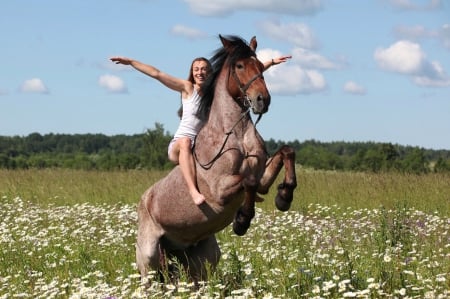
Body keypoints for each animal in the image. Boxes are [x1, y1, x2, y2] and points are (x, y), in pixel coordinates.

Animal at [137, 34, 298, 284]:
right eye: (239, 66)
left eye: (261, 66)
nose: (263, 100)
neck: (235, 136)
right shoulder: (220, 190)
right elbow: (248, 181)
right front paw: (242, 221)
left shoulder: (262, 178)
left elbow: (286, 153)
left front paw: (284, 197)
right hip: (149, 263)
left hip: (201, 260)